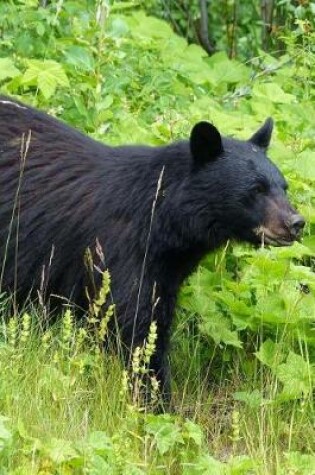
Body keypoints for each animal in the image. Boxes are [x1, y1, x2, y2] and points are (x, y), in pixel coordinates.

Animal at [0, 96, 306, 402]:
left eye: (283, 186)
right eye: (256, 189)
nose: (296, 223)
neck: (162, 216)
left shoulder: (166, 267)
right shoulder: (121, 251)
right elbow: (138, 323)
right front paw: (155, 398)